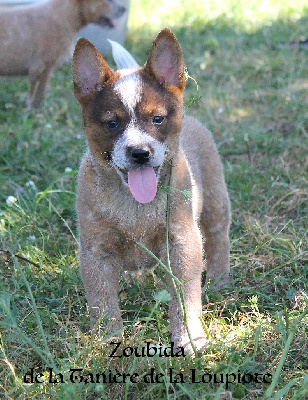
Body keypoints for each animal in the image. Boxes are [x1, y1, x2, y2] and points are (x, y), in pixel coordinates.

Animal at [73, 28, 231, 354]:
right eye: (112, 123)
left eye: (157, 118)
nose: (139, 153)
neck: (135, 207)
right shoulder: (96, 251)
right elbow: (102, 300)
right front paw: (108, 341)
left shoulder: (182, 243)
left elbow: (185, 298)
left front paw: (189, 337)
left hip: (214, 200)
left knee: (218, 235)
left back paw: (219, 279)